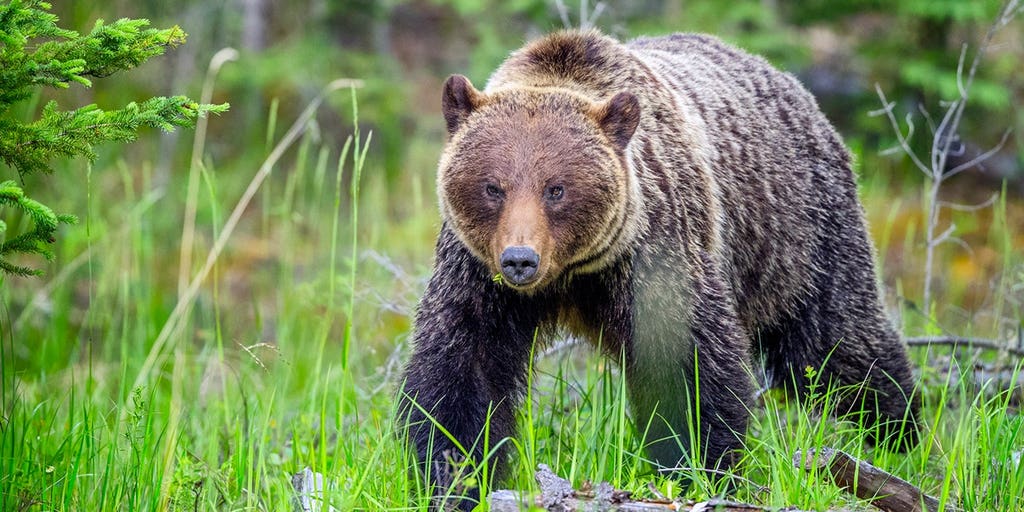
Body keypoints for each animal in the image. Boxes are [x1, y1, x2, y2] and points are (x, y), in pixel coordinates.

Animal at [398, 29, 920, 509]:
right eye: (493, 186)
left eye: (556, 188)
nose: (520, 259)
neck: (574, 275)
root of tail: (788, 82)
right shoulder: (477, 276)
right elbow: (462, 371)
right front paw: (450, 479)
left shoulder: (658, 251)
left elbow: (690, 368)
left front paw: (703, 470)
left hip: (797, 234)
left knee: (837, 344)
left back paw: (897, 437)